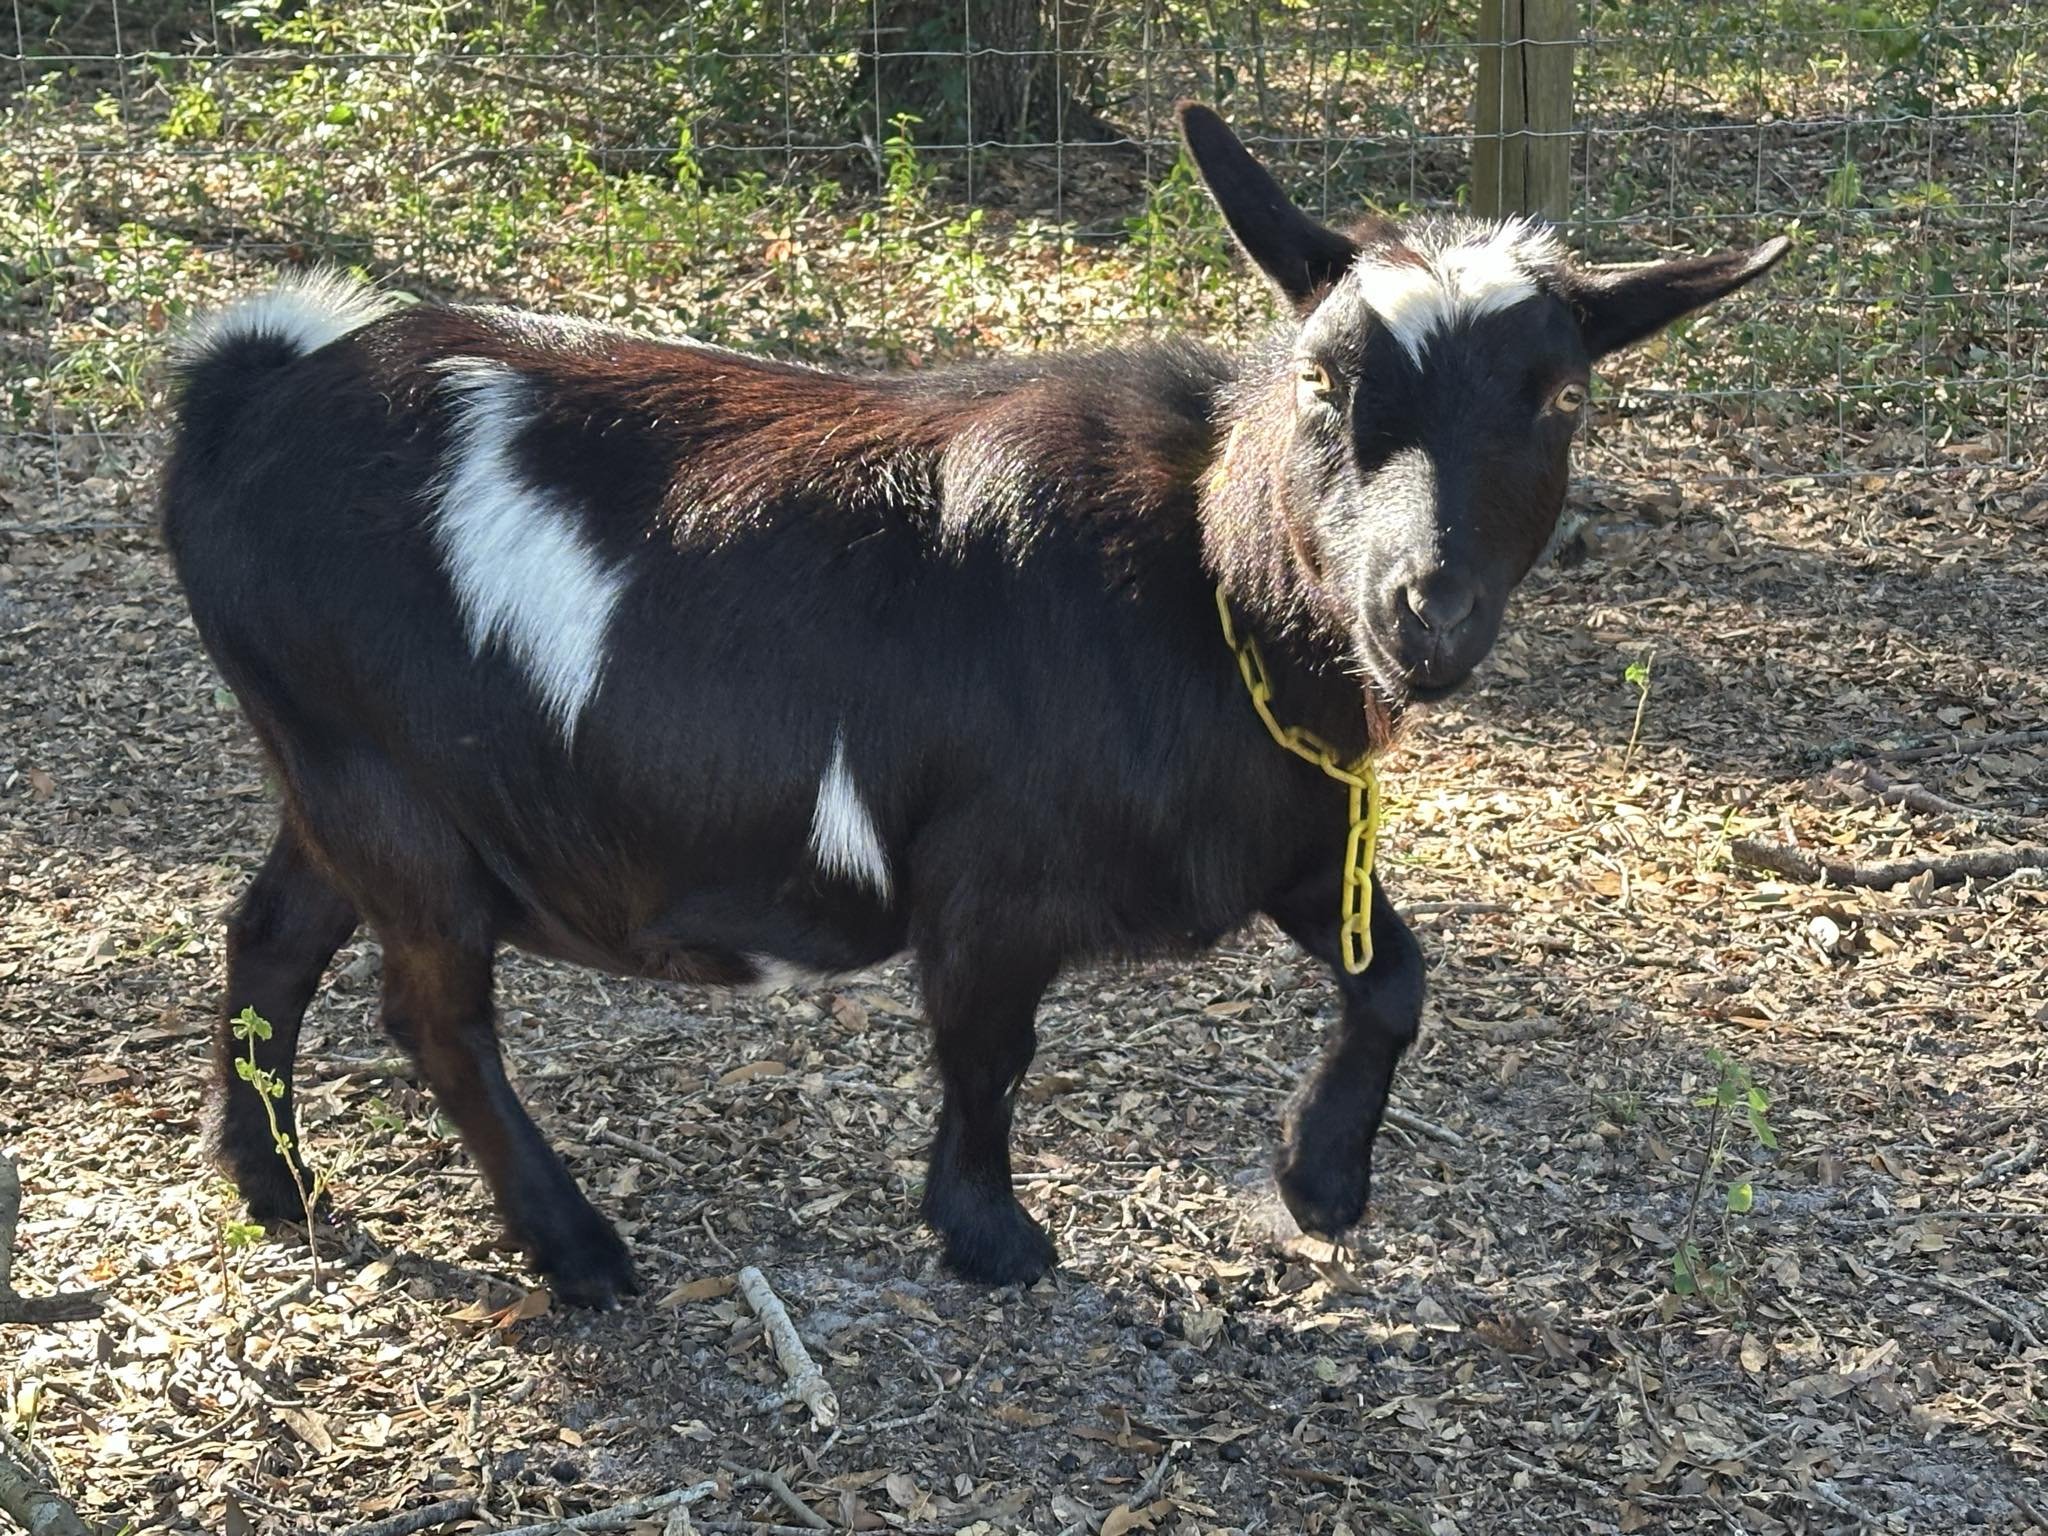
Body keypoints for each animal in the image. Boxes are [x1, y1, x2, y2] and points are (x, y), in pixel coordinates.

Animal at [161, 104, 1787, 1304]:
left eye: (1560, 397)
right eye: (1324, 381)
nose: (1421, 615)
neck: (1197, 578)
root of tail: (251, 394)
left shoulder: (1287, 834)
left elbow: (1394, 977)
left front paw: (1322, 1184)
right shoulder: (992, 880)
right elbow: (989, 1048)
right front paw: (990, 1236)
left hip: (336, 772)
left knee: (273, 936)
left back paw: (277, 1186)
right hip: (379, 781)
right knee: (434, 1013)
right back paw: (576, 1252)